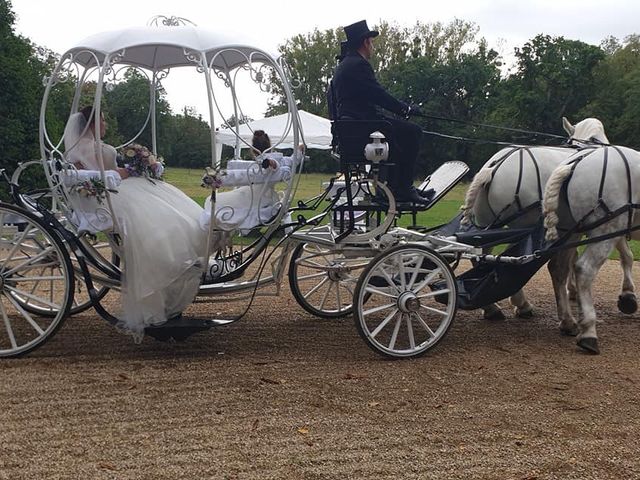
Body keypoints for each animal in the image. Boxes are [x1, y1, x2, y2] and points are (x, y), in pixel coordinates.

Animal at [460, 118, 636, 320]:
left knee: (483, 256)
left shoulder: (572, 228)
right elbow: (626, 255)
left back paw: (492, 308)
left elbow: (571, 258)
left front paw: (572, 290)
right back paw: (521, 304)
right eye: (596, 137)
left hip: (487, 223)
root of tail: (494, 167)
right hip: (523, 223)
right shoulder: (610, 222)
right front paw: (628, 295)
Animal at [544, 146, 640, 352]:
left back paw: (568, 321)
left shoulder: (621, 232)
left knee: (558, 268)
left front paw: (628, 295)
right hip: (606, 228)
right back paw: (588, 331)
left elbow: (627, 256)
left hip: (573, 231)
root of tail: (574, 163)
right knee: (584, 269)